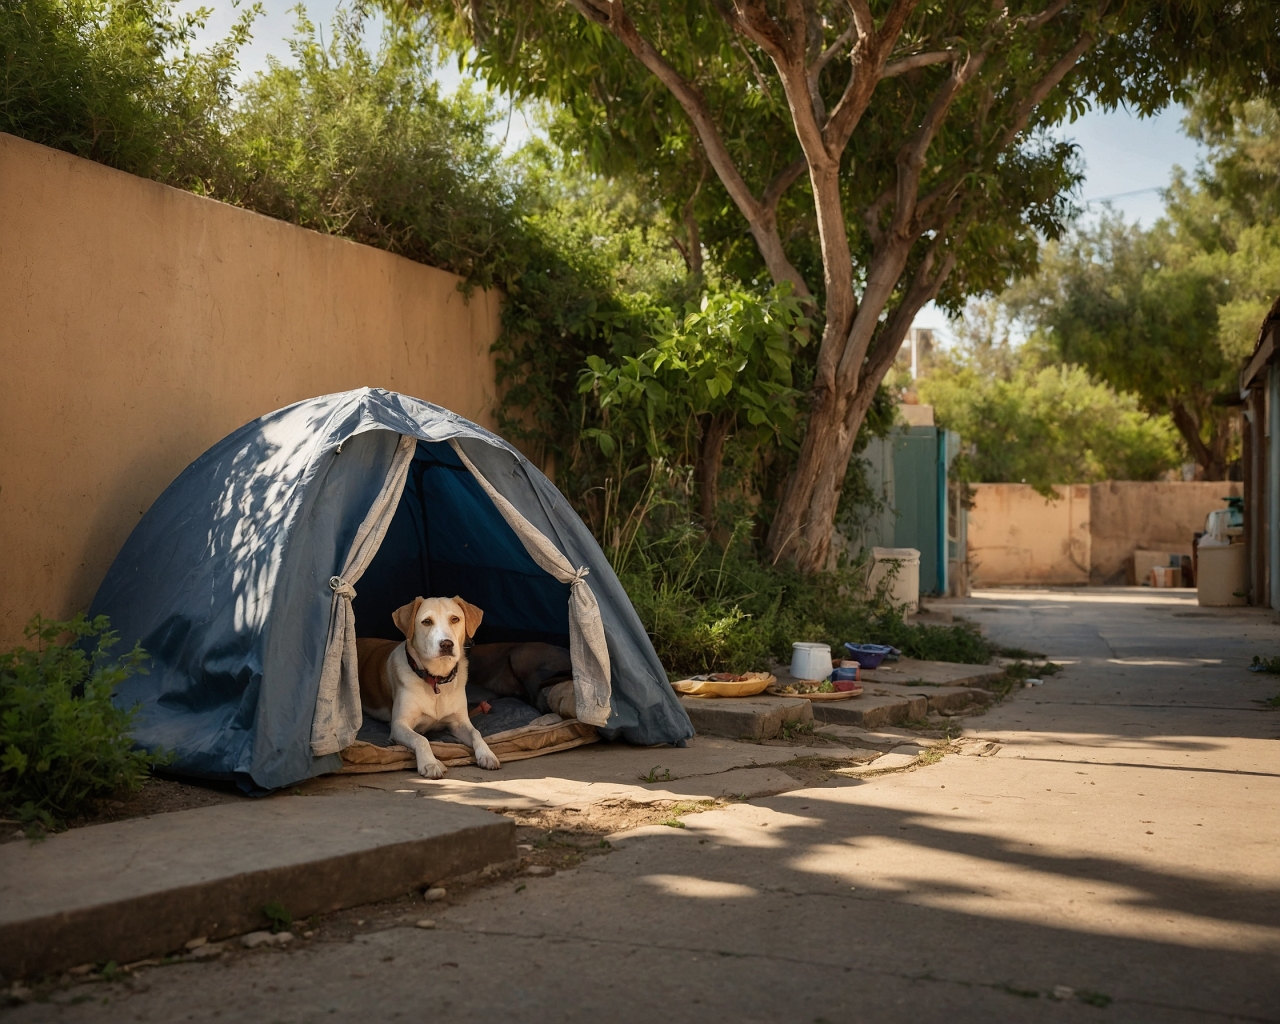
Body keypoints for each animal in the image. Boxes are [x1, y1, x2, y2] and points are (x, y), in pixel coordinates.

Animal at [92, 386, 691, 793]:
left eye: (455, 620)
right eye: (425, 622)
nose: (446, 643)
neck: (435, 683)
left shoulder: (461, 718)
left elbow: (475, 734)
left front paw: (486, 755)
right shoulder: (402, 726)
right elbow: (423, 737)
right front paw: (430, 763)